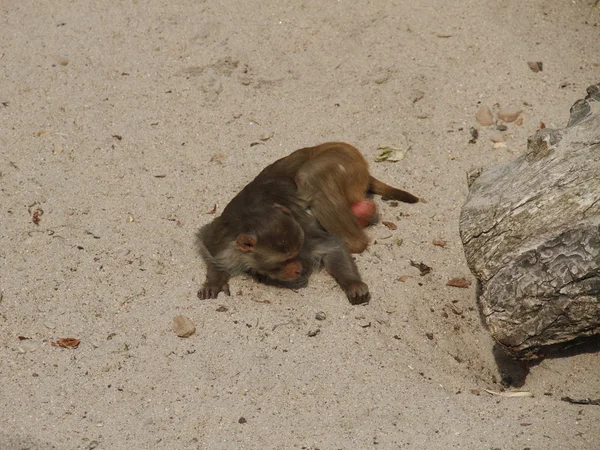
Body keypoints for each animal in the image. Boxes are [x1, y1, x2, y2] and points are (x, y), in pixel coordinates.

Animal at [197, 174, 370, 304]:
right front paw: (214, 281)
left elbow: (332, 246)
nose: (299, 269)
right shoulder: (224, 241)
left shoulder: (304, 236)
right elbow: (208, 246)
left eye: (296, 254)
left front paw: (352, 283)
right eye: (284, 260)